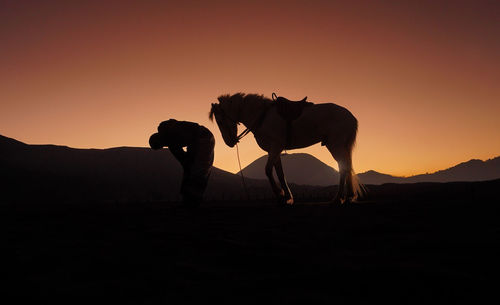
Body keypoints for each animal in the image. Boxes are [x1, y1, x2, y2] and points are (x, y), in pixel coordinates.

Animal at [209, 92, 362, 204]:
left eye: (220, 121)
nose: (229, 143)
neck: (262, 117)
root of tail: (350, 117)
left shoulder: (275, 147)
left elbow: (268, 170)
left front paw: (279, 194)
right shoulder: (275, 151)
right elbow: (280, 173)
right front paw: (287, 197)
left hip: (335, 145)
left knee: (343, 168)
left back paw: (338, 198)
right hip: (340, 146)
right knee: (347, 166)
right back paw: (348, 196)